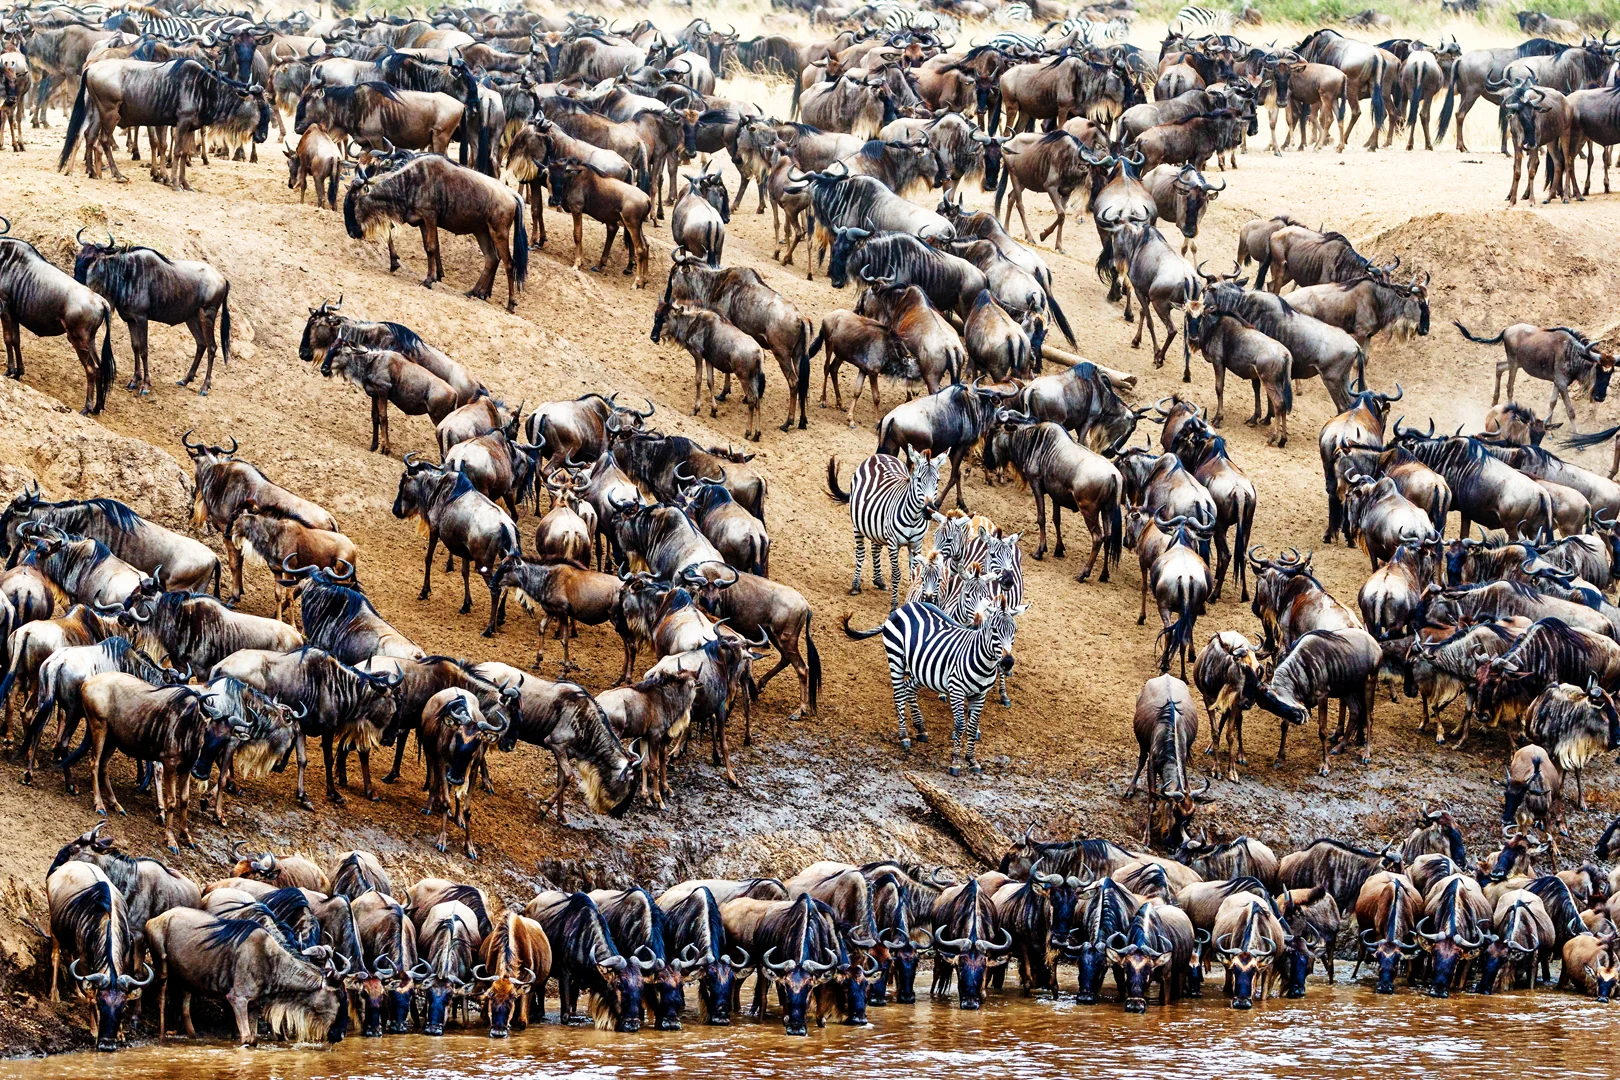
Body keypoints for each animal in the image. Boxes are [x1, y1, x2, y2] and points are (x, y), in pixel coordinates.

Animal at [827, 449, 941, 610]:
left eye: (937, 481)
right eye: (918, 480)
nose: (928, 511)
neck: (913, 518)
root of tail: (880, 455)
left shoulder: (916, 544)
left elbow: (915, 575)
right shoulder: (893, 543)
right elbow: (896, 574)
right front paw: (894, 605)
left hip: (876, 527)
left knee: (875, 550)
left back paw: (878, 580)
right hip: (858, 525)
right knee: (861, 553)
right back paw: (855, 585)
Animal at [843, 597, 1026, 774]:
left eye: (1014, 631)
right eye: (994, 630)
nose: (1008, 663)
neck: (983, 663)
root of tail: (904, 607)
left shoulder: (980, 695)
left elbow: (972, 727)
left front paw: (972, 760)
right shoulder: (956, 689)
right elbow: (960, 725)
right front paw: (955, 762)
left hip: (922, 669)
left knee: (908, 688)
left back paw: (920, 728)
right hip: (895, 658)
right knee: (899, 694)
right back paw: (904, 736)